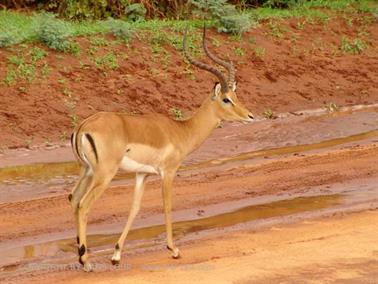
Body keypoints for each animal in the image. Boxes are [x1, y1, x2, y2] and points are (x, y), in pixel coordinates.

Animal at [69, 25, 255, 272]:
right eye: (226, 99)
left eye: (235, 95)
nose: (250, 116)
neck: (181, 130)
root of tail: (84, 126)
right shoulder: (168, 172)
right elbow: (167, 205)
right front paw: (174, 250)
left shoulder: (142, 174)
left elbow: (135, 208)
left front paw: (116, 255)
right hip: (104, 175)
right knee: (84, 205)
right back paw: (86, 261)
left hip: (87, 171)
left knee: (73, 199)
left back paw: (82, 256)